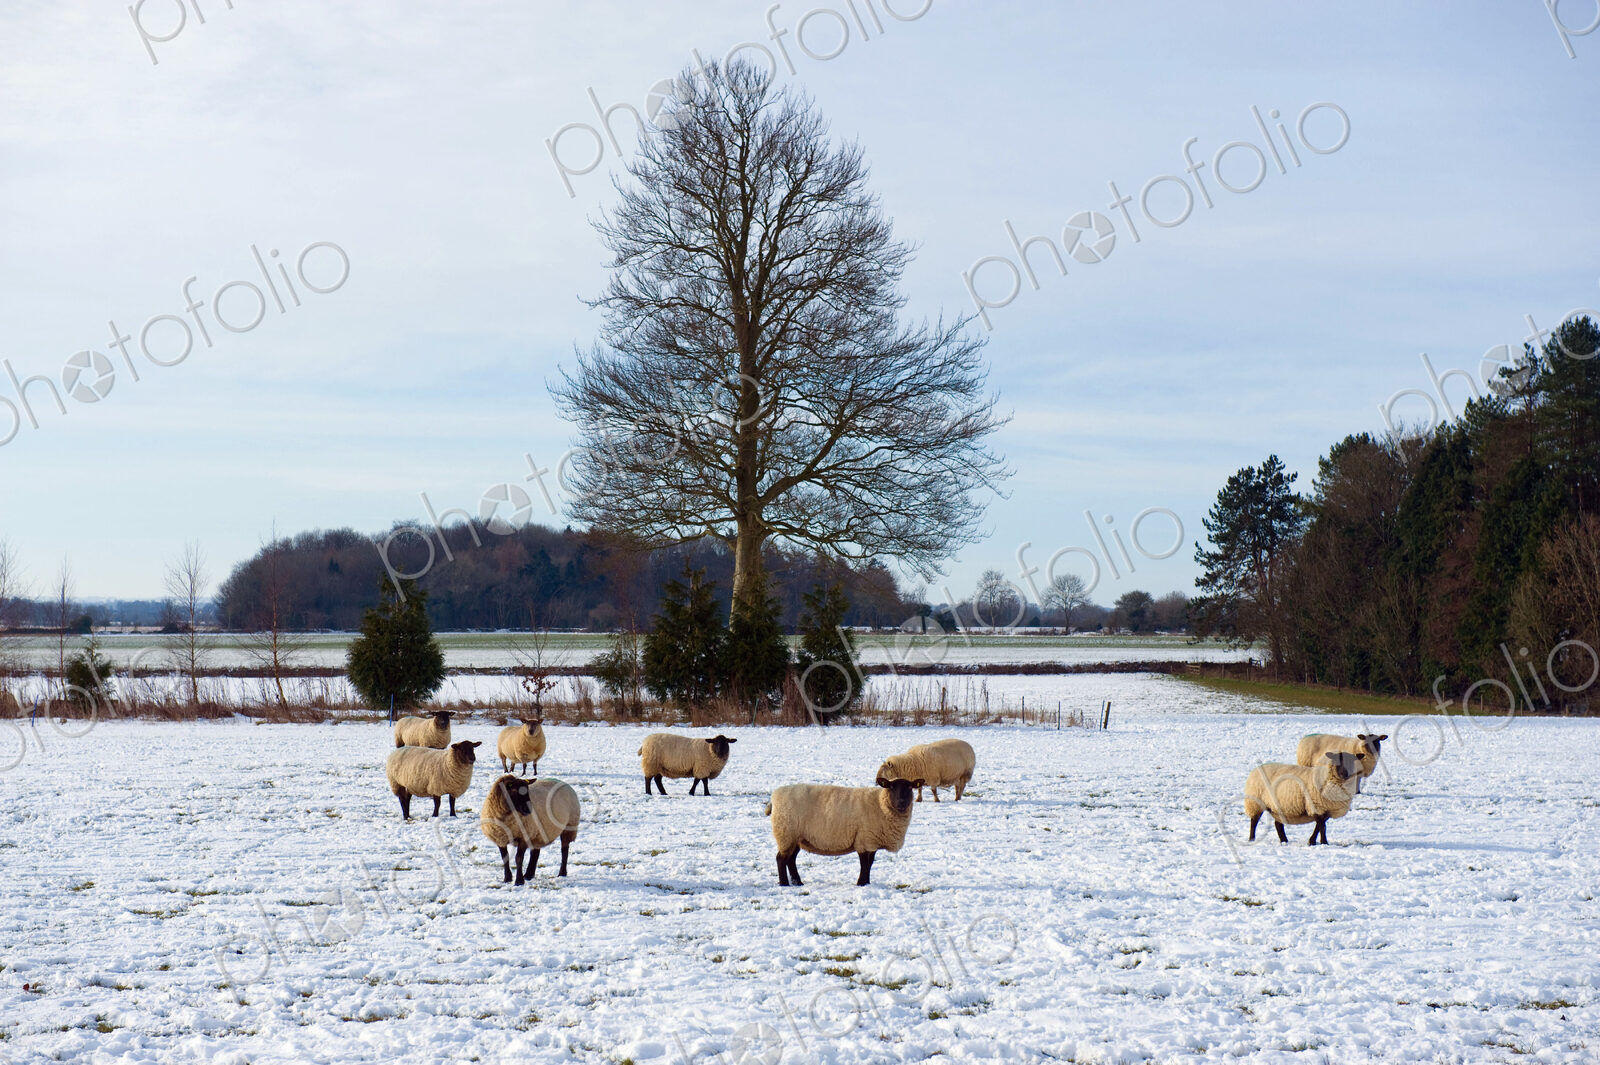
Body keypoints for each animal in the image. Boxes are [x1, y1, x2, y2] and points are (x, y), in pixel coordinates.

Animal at [765, 776, 926, 886]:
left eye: (910, 787)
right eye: (891, 787)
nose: (901, 803)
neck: (880, 804)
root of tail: (774, 798)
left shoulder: (872, 841)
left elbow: (870, 864)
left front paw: (866, 882)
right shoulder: (864, 840)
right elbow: (864, 864)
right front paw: (861, 883)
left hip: (796, 837)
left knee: (791, 859)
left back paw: (797, 882)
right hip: (786, 833)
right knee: (781, 859)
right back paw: (784, 883)